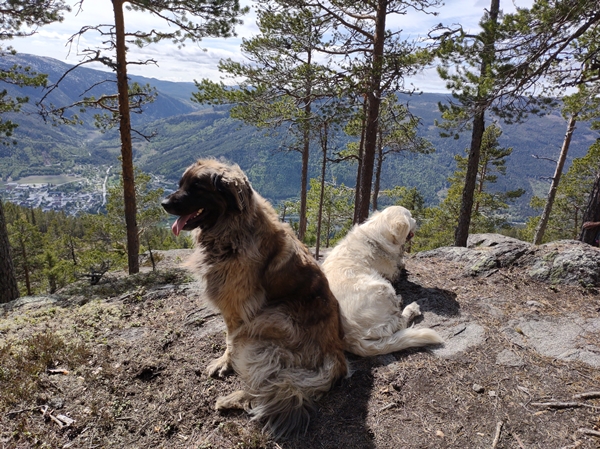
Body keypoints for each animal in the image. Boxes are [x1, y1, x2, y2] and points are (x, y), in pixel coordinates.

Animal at [161, 158, 346, 438]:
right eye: (181, 184)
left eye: (197, 187)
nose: (163, 203)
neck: (232, 231)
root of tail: (335, 358)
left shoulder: (236, 312)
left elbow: (228, 340)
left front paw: (224, 362)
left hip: (263, 328)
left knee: (269, 387)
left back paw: (231, 399)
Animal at [322, 205, 442, 356]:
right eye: (410, 216)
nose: (416, 221)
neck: (376, 239)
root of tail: (352, 339)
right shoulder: (391, 272)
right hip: (383, 287)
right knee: (398, 323)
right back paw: (411, 308)